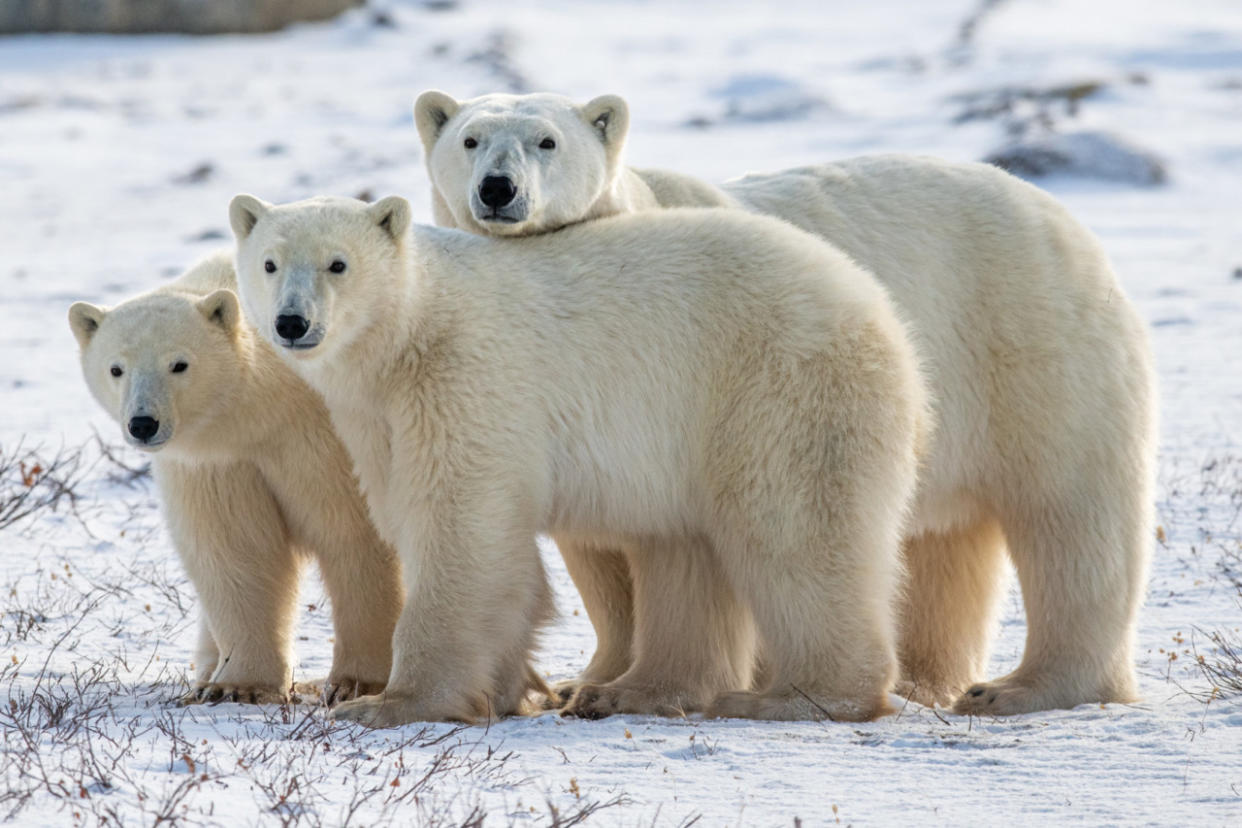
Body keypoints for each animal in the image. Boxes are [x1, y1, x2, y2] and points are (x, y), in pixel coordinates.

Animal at [69, 249, 402, 705]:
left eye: (179, 364)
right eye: (116, 368)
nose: (143, 424)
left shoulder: (325, 440)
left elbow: (354, 533)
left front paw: (357, 683)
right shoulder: (219, 463)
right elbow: (235, 551)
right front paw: (238, 686)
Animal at [231, 194, 933, 724]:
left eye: (338, 263)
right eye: (268, 263)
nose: (292, 323)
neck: (411, 334)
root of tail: (880, 310)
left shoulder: (467, 378)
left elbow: (459, 524)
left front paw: (389, 703)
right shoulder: (377, 418)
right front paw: (509, 688)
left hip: (776, 390)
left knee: (792, 530)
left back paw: (795, 697)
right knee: (688, 551)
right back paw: (625, 692)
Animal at [412, 87, 1157, 715]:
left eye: (547, 141)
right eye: (471, 138)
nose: (498, 189)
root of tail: (1060, 217)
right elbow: (600, 554)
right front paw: (588, 683)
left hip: (1032, 345)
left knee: (1070, 515)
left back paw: (1022, 688)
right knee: (944, 546)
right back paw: (925, 679)